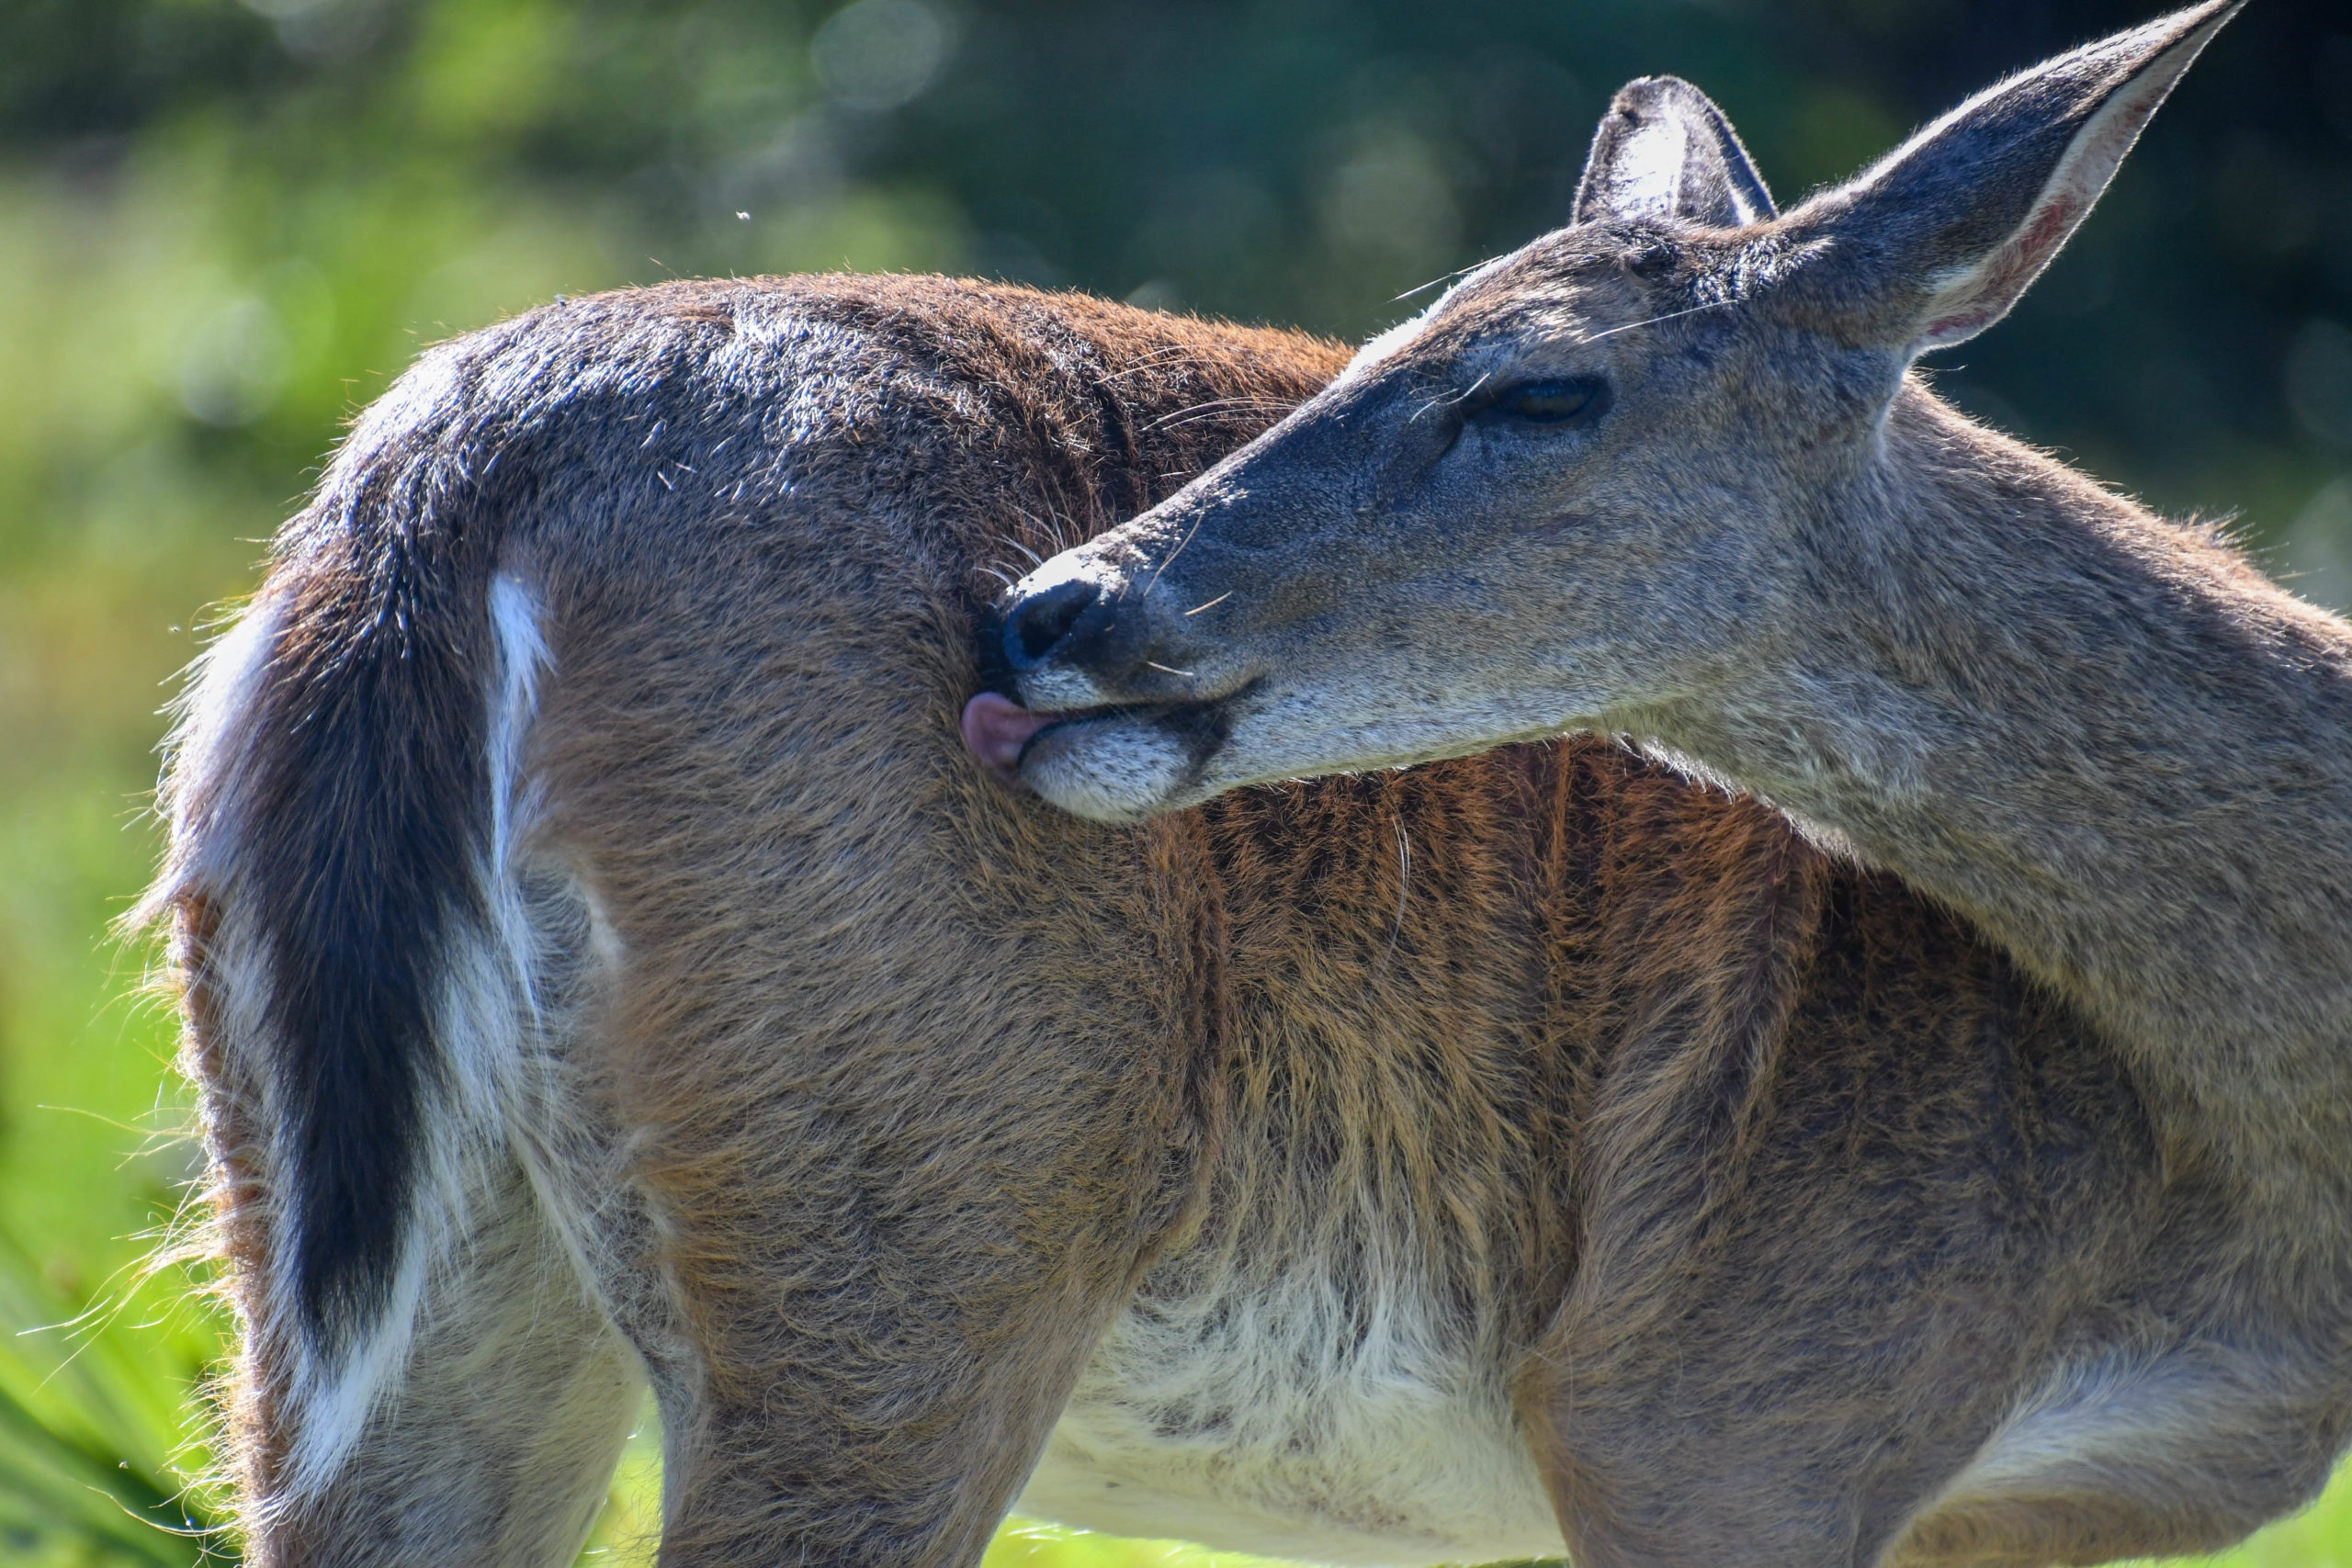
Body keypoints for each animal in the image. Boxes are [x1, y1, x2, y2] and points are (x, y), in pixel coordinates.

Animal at [137, 0, 2342, 1561]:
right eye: (1379, 339)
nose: (1053, 611)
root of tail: (449, 468)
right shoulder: (1729, 1398)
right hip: (911, 1238)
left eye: (1537, 384)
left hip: (361, 1280)